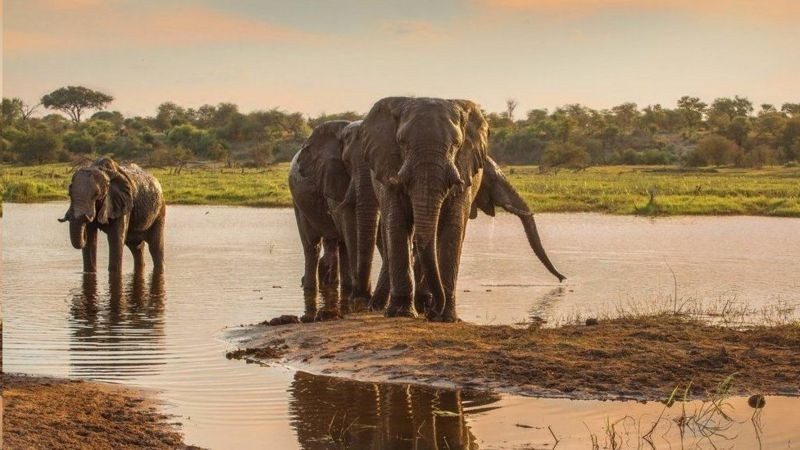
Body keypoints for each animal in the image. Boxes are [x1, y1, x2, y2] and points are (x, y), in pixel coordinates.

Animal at [360, 96, 564, 322]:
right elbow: (397, 224)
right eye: (402, 142)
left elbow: (452, 229)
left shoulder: (464, 172)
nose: (562, 279)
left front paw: (445, 318)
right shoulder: (389, 170)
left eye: (456, 144)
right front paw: (402, 314)